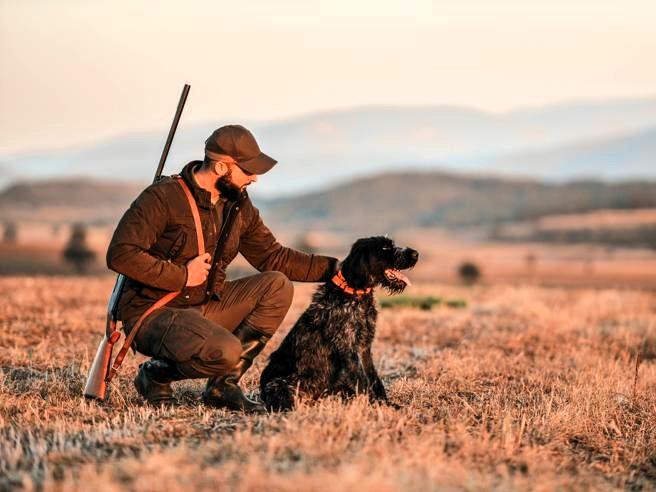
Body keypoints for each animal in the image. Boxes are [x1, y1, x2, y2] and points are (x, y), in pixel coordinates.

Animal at [258, 235, 418, 412]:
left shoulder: (364, 348)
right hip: (279, 384)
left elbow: (374, 380)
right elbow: (363, 382)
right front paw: (376, 405)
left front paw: (386, 403)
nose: (415, 254)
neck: (354, 293)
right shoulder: (348, 349)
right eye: (384, 248)